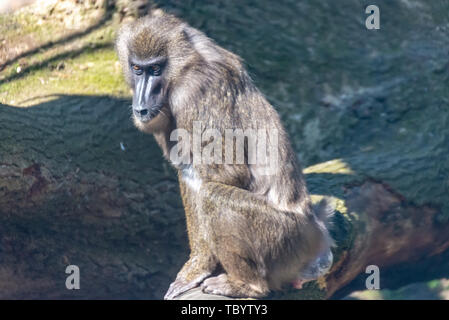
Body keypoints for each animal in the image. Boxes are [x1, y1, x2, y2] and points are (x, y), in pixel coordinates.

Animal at [115, 10, 332, 300]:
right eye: (137, 69)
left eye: (156, 69)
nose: (141, 105)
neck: (186, 63)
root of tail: (315, 229)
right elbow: (188, 173)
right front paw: (197, 267)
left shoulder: (195, 92)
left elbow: (226, 174)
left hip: (285, 239)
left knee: (213, 195)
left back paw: (247, 286)